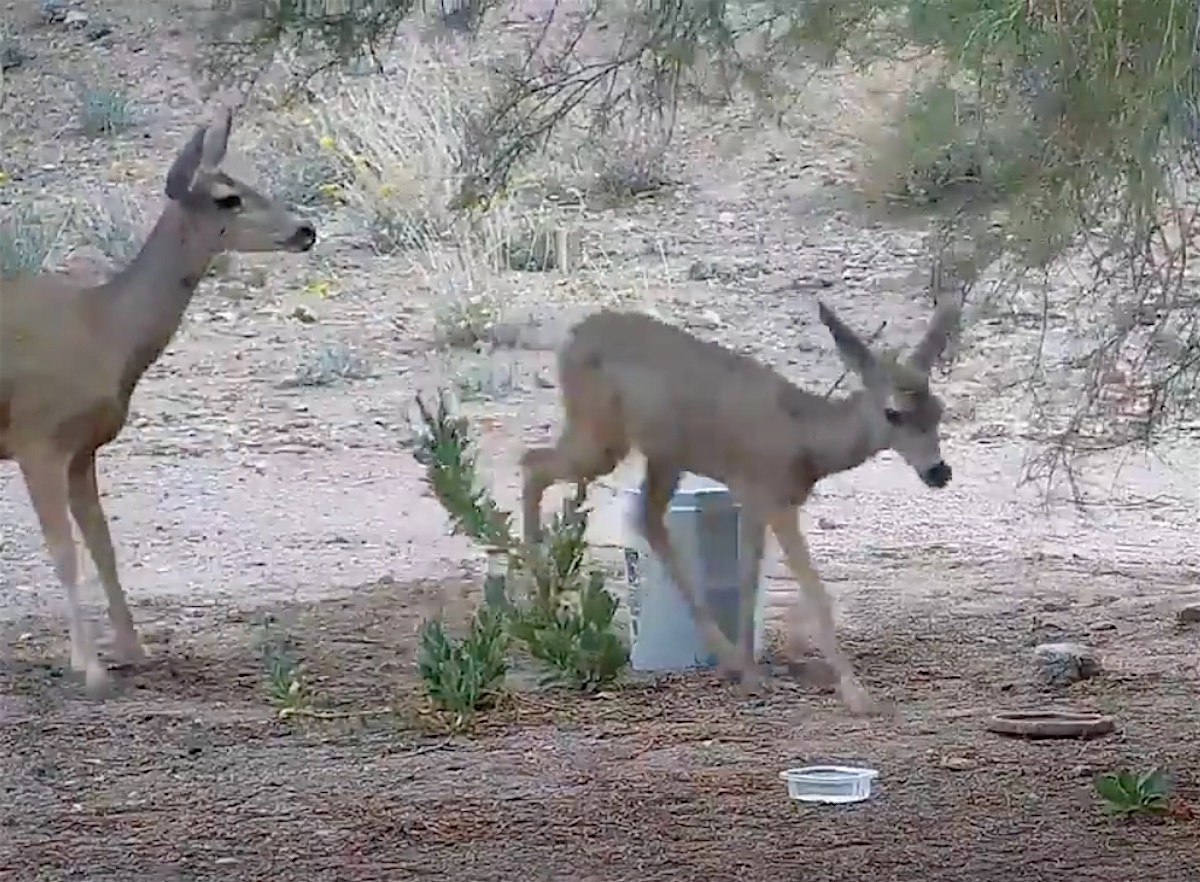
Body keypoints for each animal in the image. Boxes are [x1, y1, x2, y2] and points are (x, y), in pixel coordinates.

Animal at [0, 104, 317, 697]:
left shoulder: (83, 449)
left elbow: (103, 545)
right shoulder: (38, 439)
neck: (103, 330)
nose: (306, 229)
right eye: (228, 197)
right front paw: (90, 668)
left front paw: (133, 650)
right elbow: (63, 551)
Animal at [519, 293, 961, 715]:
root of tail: (573, 336)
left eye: (939, 410)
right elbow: (815, 590)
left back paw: (725, 658)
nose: (939, 472)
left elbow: (747, 580)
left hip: (661, 453)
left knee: (646, 518)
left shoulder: (751, 499)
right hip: (601, 435)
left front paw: (752, 671)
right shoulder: (774, 499)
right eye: (893, 413)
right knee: (532, 462)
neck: (806, 439)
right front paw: (858, 696)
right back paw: (542, 600)